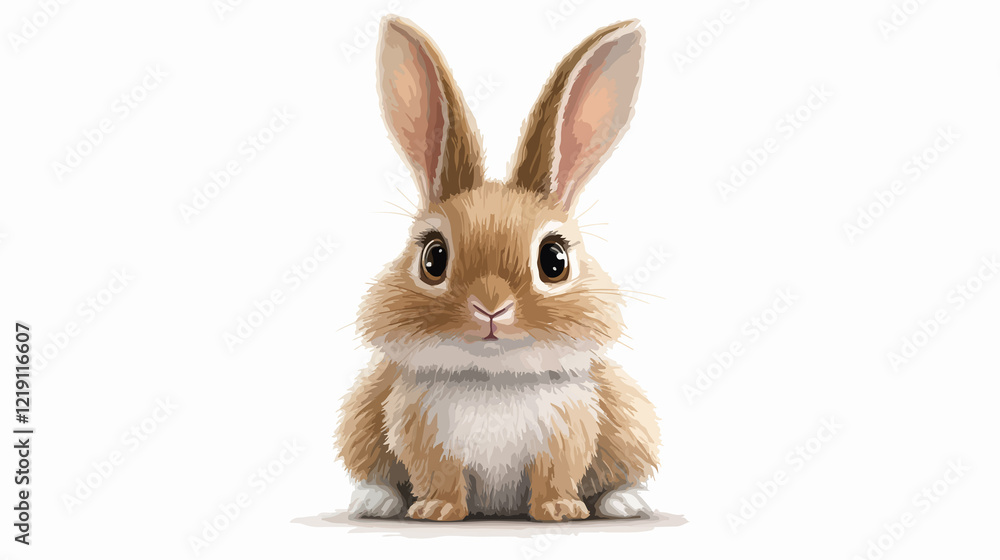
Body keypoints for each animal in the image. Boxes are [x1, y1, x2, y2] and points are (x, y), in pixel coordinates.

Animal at [335, 16, 659, 522]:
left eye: (554, 260)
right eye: (433, 258)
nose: (490, 308)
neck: (492, 379)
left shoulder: (568, 433)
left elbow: (554, 477)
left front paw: (561, 511)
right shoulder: (421, 435)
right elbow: (440, 479)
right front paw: (436, 511)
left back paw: (626, 503)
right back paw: (374, 501)